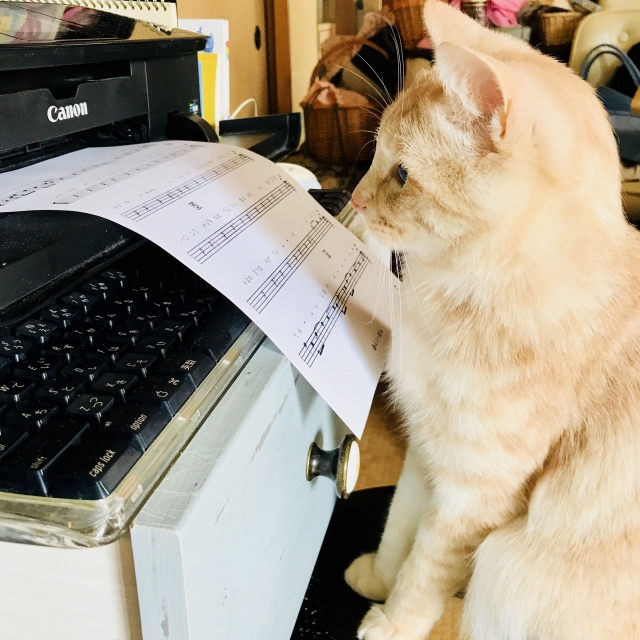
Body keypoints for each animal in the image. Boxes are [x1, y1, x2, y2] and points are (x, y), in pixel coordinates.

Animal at [344, 1, 640, 639]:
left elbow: (424, 569)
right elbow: (398, 529)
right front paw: (375, 580)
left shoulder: (475, 495)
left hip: (506, 565)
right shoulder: (427, 452)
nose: (352, 200)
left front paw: (392, 623)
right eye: (374, 154)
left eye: (401, 175)